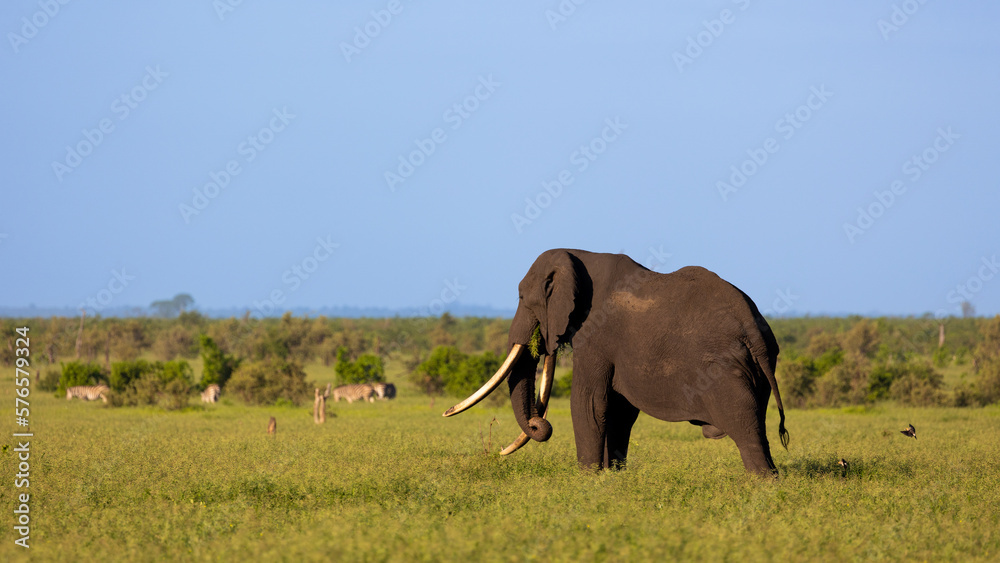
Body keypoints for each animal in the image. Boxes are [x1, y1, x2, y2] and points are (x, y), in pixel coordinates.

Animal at [444, 249, 789, 475]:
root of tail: (752, 326)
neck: (579, 257)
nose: (538, 425)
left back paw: (762, 484)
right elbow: (619, 409)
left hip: (724, 368)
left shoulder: (596, 334)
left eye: (521, 298)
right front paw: (612, 477)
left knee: (744, 424)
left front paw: (586, 478)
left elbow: (588, 402)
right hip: (758, 366)